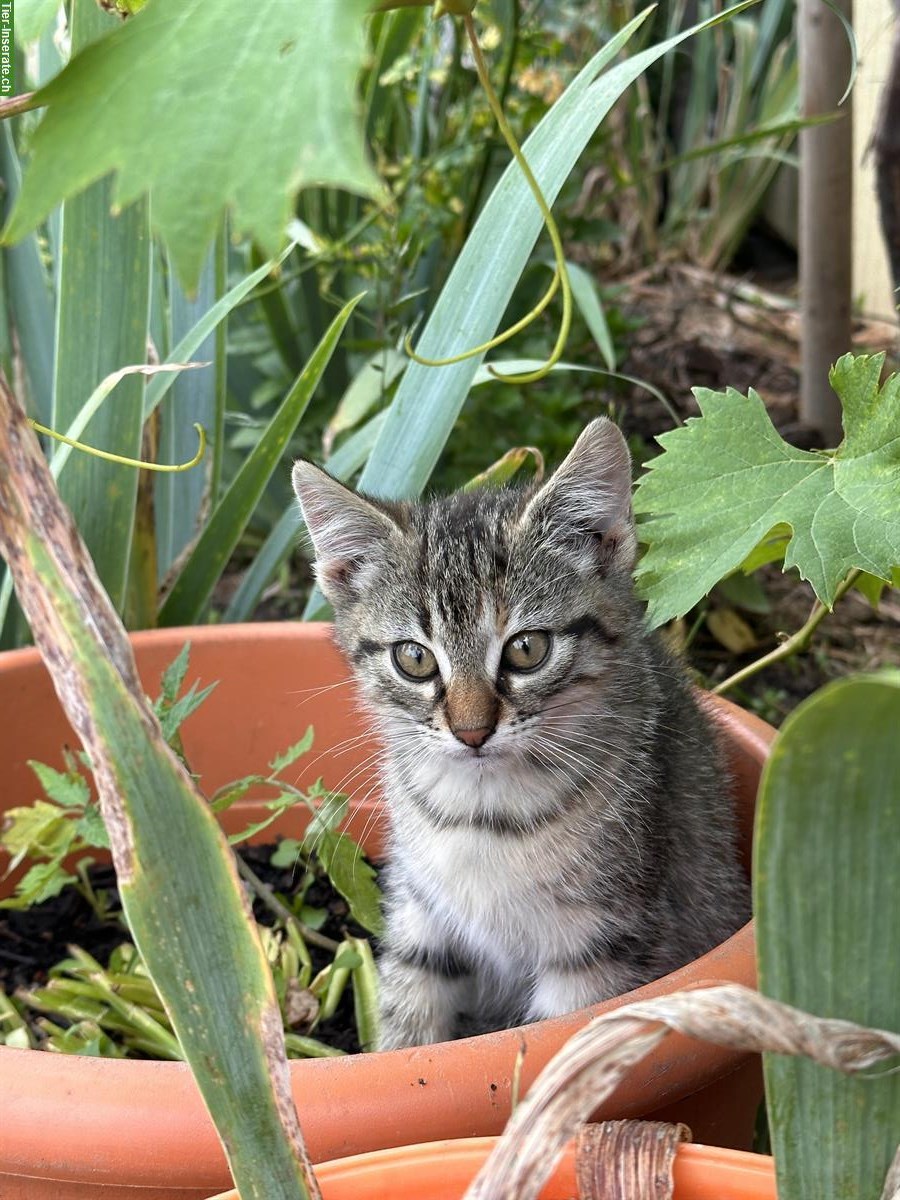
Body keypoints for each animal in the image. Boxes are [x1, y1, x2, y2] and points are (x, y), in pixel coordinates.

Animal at [292, 420, 748, 1051]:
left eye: (527, 649)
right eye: (414, 658)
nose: (471, 731)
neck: (482, 814)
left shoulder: (597, 945)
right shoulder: (421, 915)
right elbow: (409, 1019)